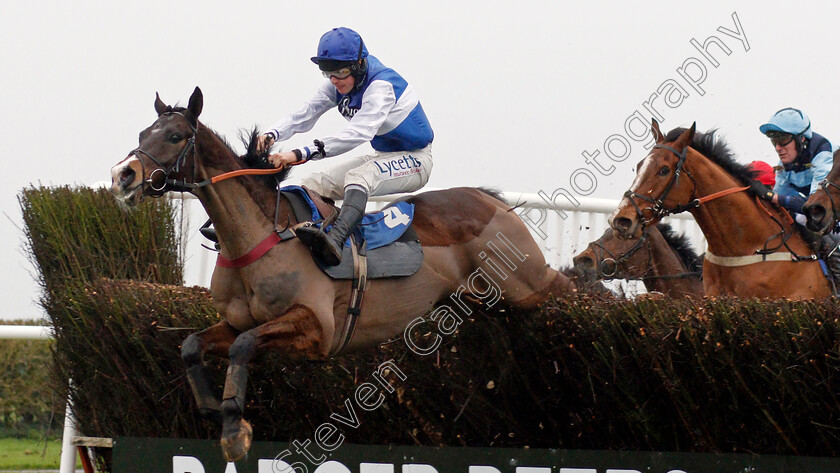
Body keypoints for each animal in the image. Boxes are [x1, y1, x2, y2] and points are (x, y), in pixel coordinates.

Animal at [108, 86, 576, 460]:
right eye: (142, 135)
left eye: (174, 136)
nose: (122, 174)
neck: (261, 236)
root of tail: (489, 199)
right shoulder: (237, 320)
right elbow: (191, 344)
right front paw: (210, 406)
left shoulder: (316, 330)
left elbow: (243, 347)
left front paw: (233, 431)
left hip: (525, 284)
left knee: (564, 285)